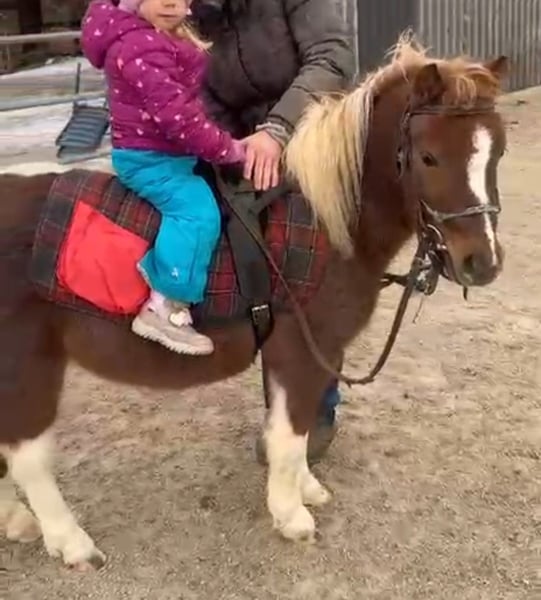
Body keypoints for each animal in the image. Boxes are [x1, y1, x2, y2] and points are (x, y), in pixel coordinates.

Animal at [0, 37, 509, 571]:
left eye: (497, 151)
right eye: (428, 157)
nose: (482, 263)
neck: (322, 221)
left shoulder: (311, 352)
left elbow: (295, 425)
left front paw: (306, 489)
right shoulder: (299, 350)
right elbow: (288, 433)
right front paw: (290, 514)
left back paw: (17, 522)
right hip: (26, 364)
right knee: (27, 456)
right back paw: (70, 541)